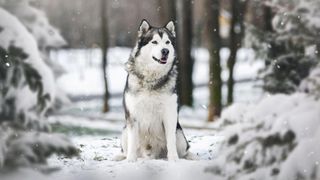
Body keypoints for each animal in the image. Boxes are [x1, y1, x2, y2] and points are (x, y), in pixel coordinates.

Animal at [115, 19, 195, 162]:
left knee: (185, 149)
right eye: (154, 42)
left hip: (180, 133)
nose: (165, 51)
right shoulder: (132, 114)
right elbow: (133, 141)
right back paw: (122, 156)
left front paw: (174, 159)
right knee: (127, 147)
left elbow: (170, 140)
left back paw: (188, 156)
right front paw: (131, 160)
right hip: (124, 131)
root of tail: (151, 155)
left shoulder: (170, 113)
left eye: (167, 42)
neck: (151, 79)